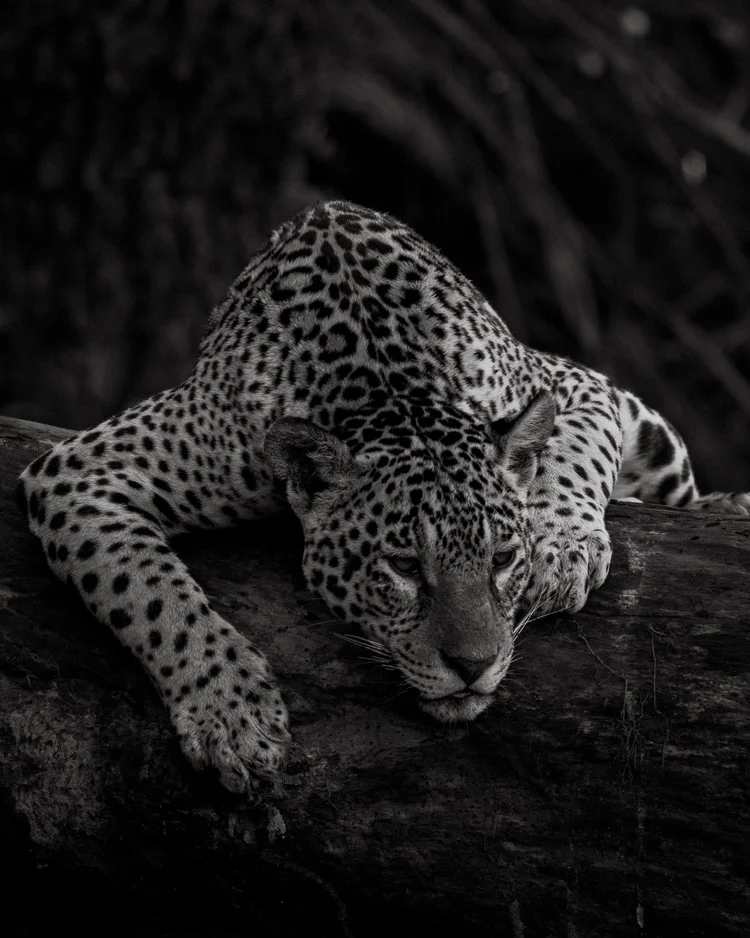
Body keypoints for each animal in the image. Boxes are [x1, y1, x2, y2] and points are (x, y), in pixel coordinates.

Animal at [17, 200, 750, 797]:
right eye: (402, 567)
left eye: (503, 559)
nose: (474, 666)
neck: (392, 391)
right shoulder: (79, 470)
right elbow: (150, 594)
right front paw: (232, 714)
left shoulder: (575, 383)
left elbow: (574, 458)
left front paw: (562, 550)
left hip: (655, 440)